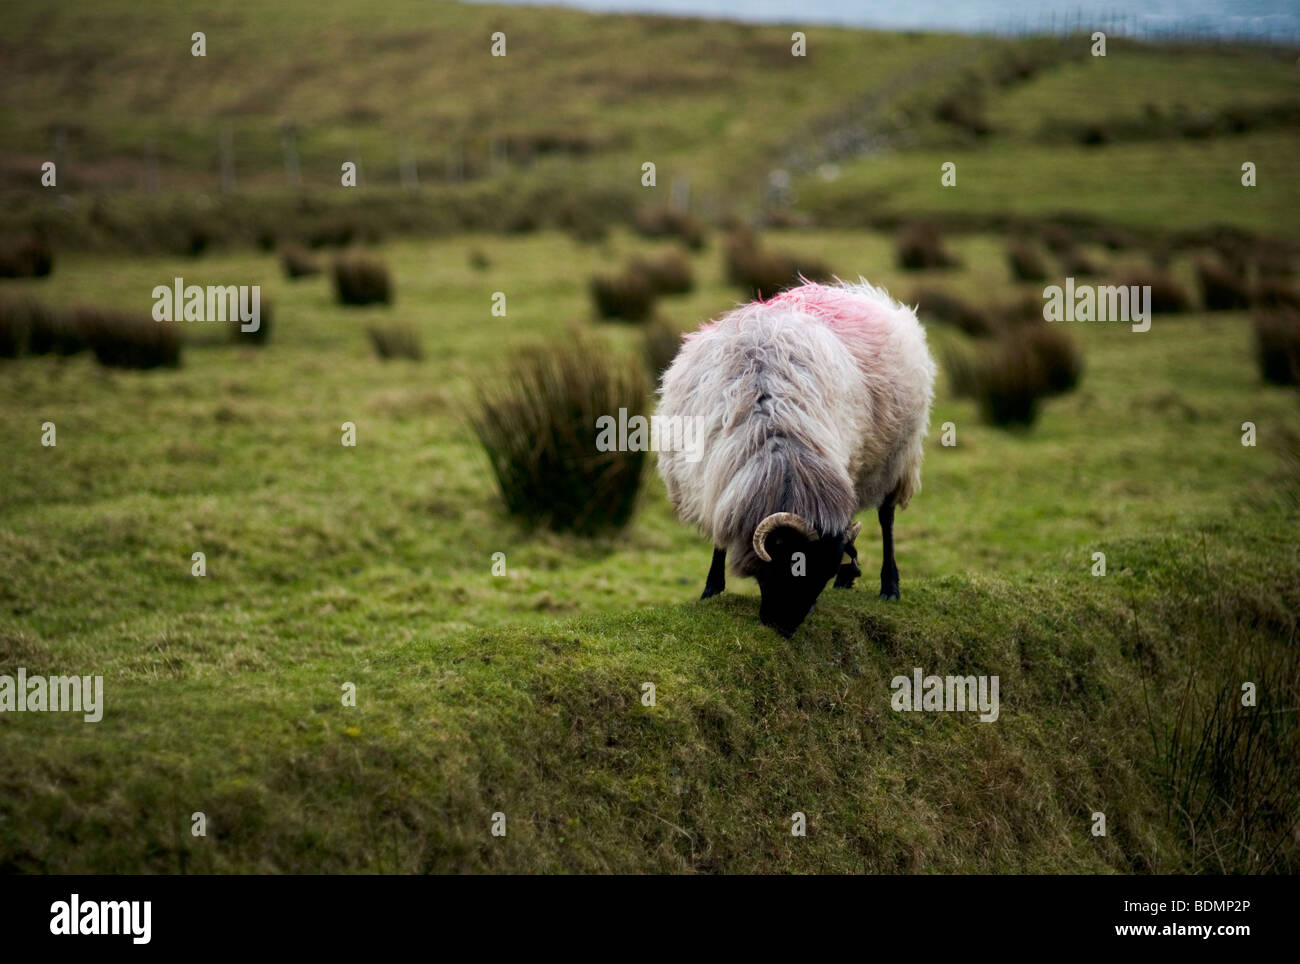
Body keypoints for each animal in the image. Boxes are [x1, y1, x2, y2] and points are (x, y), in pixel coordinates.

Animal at [660, 281, 935, 634]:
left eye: (820, 576)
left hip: (896, 456)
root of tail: (864, 294)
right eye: (793, 567)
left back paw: (890, 585)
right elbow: (720, 535)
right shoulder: (715, 478)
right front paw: (711, 589)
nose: (784, 628)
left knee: (886, 517)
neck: (777, 441)